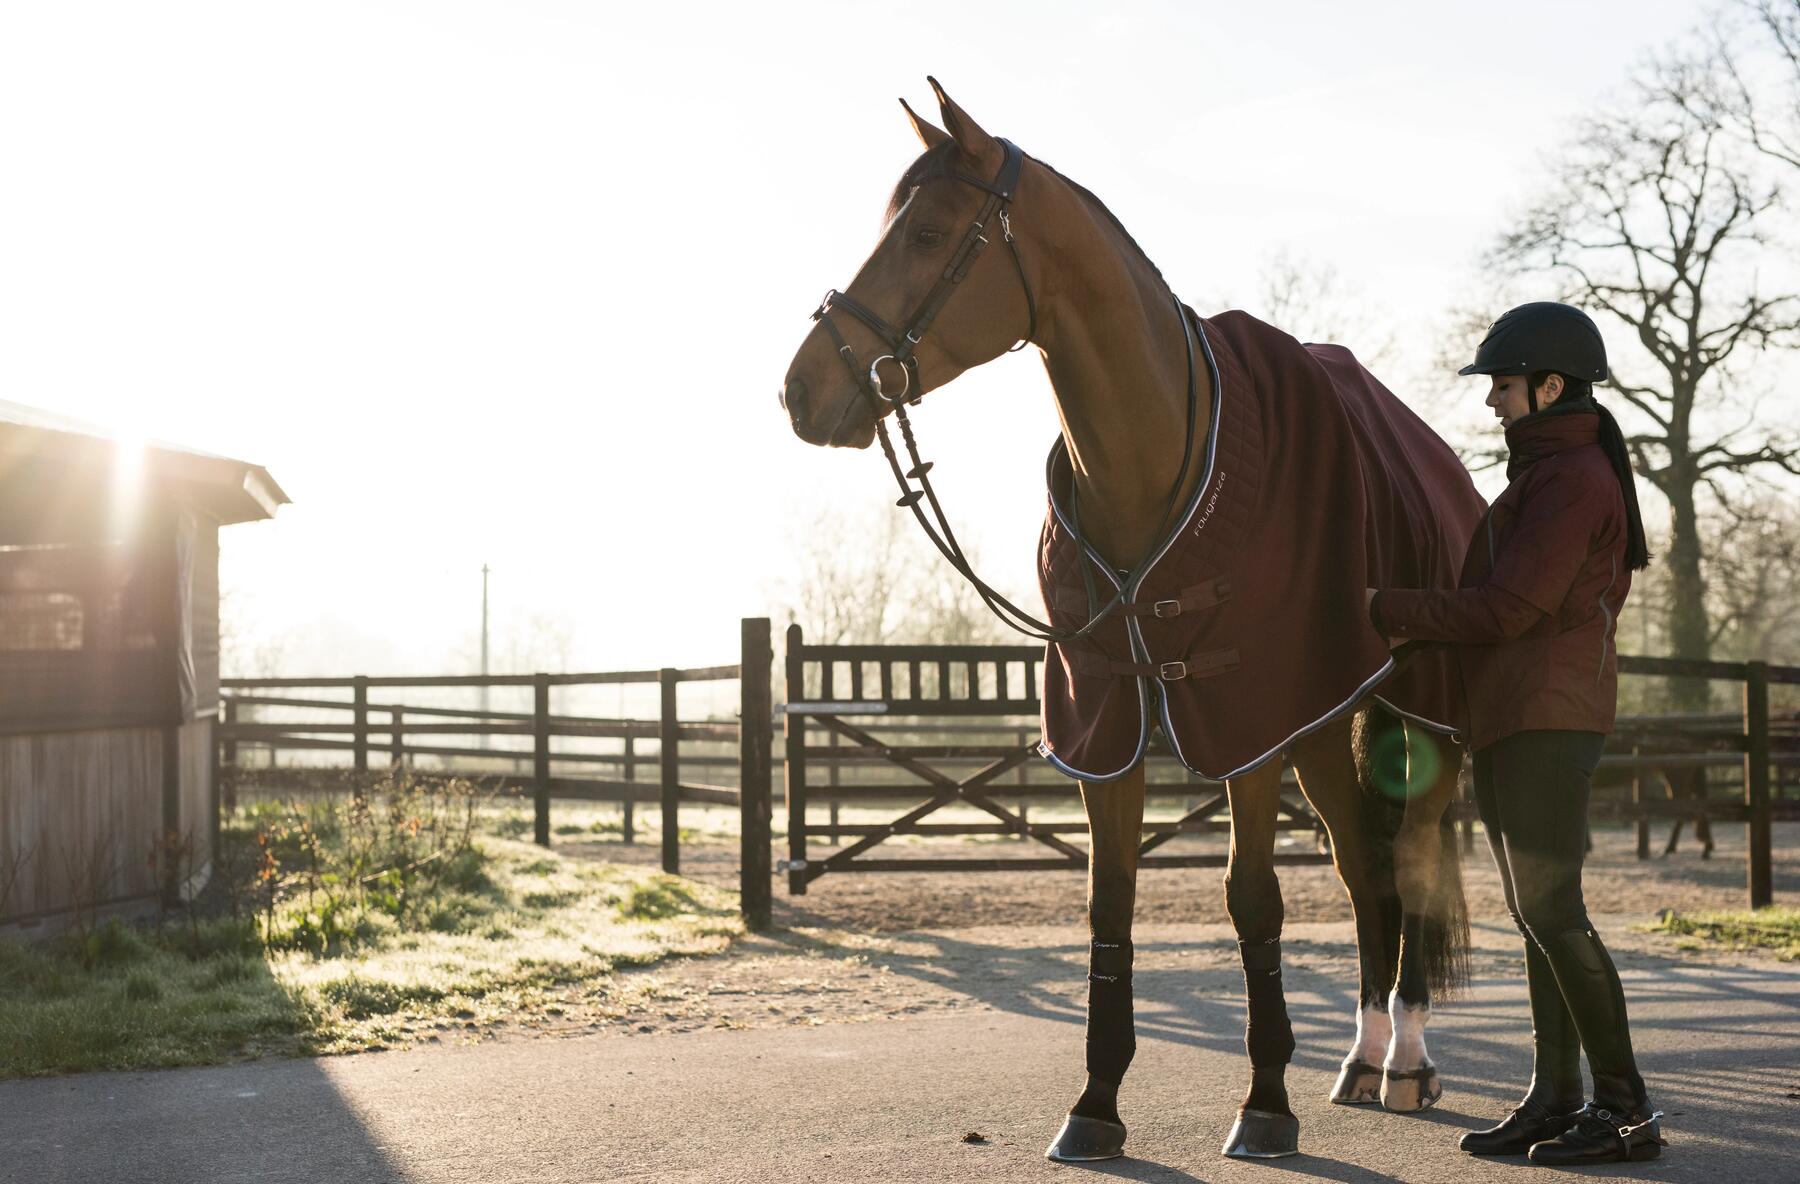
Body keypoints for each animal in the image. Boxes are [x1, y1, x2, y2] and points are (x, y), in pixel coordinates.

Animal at [777, 78, 1476, 1158]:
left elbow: (1252, 900)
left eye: (929, 231)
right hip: (1323, 725)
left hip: (1422, 720)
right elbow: (1110, 904)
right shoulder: (1108, 721)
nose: (803, 388)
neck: (1155, 459)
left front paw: (1263, 1102)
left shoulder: (1243, 721)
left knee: (1410, 858)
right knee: (1366, 870)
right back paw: (1359, 1061)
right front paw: (1095, 1104)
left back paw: (1404, 1062)